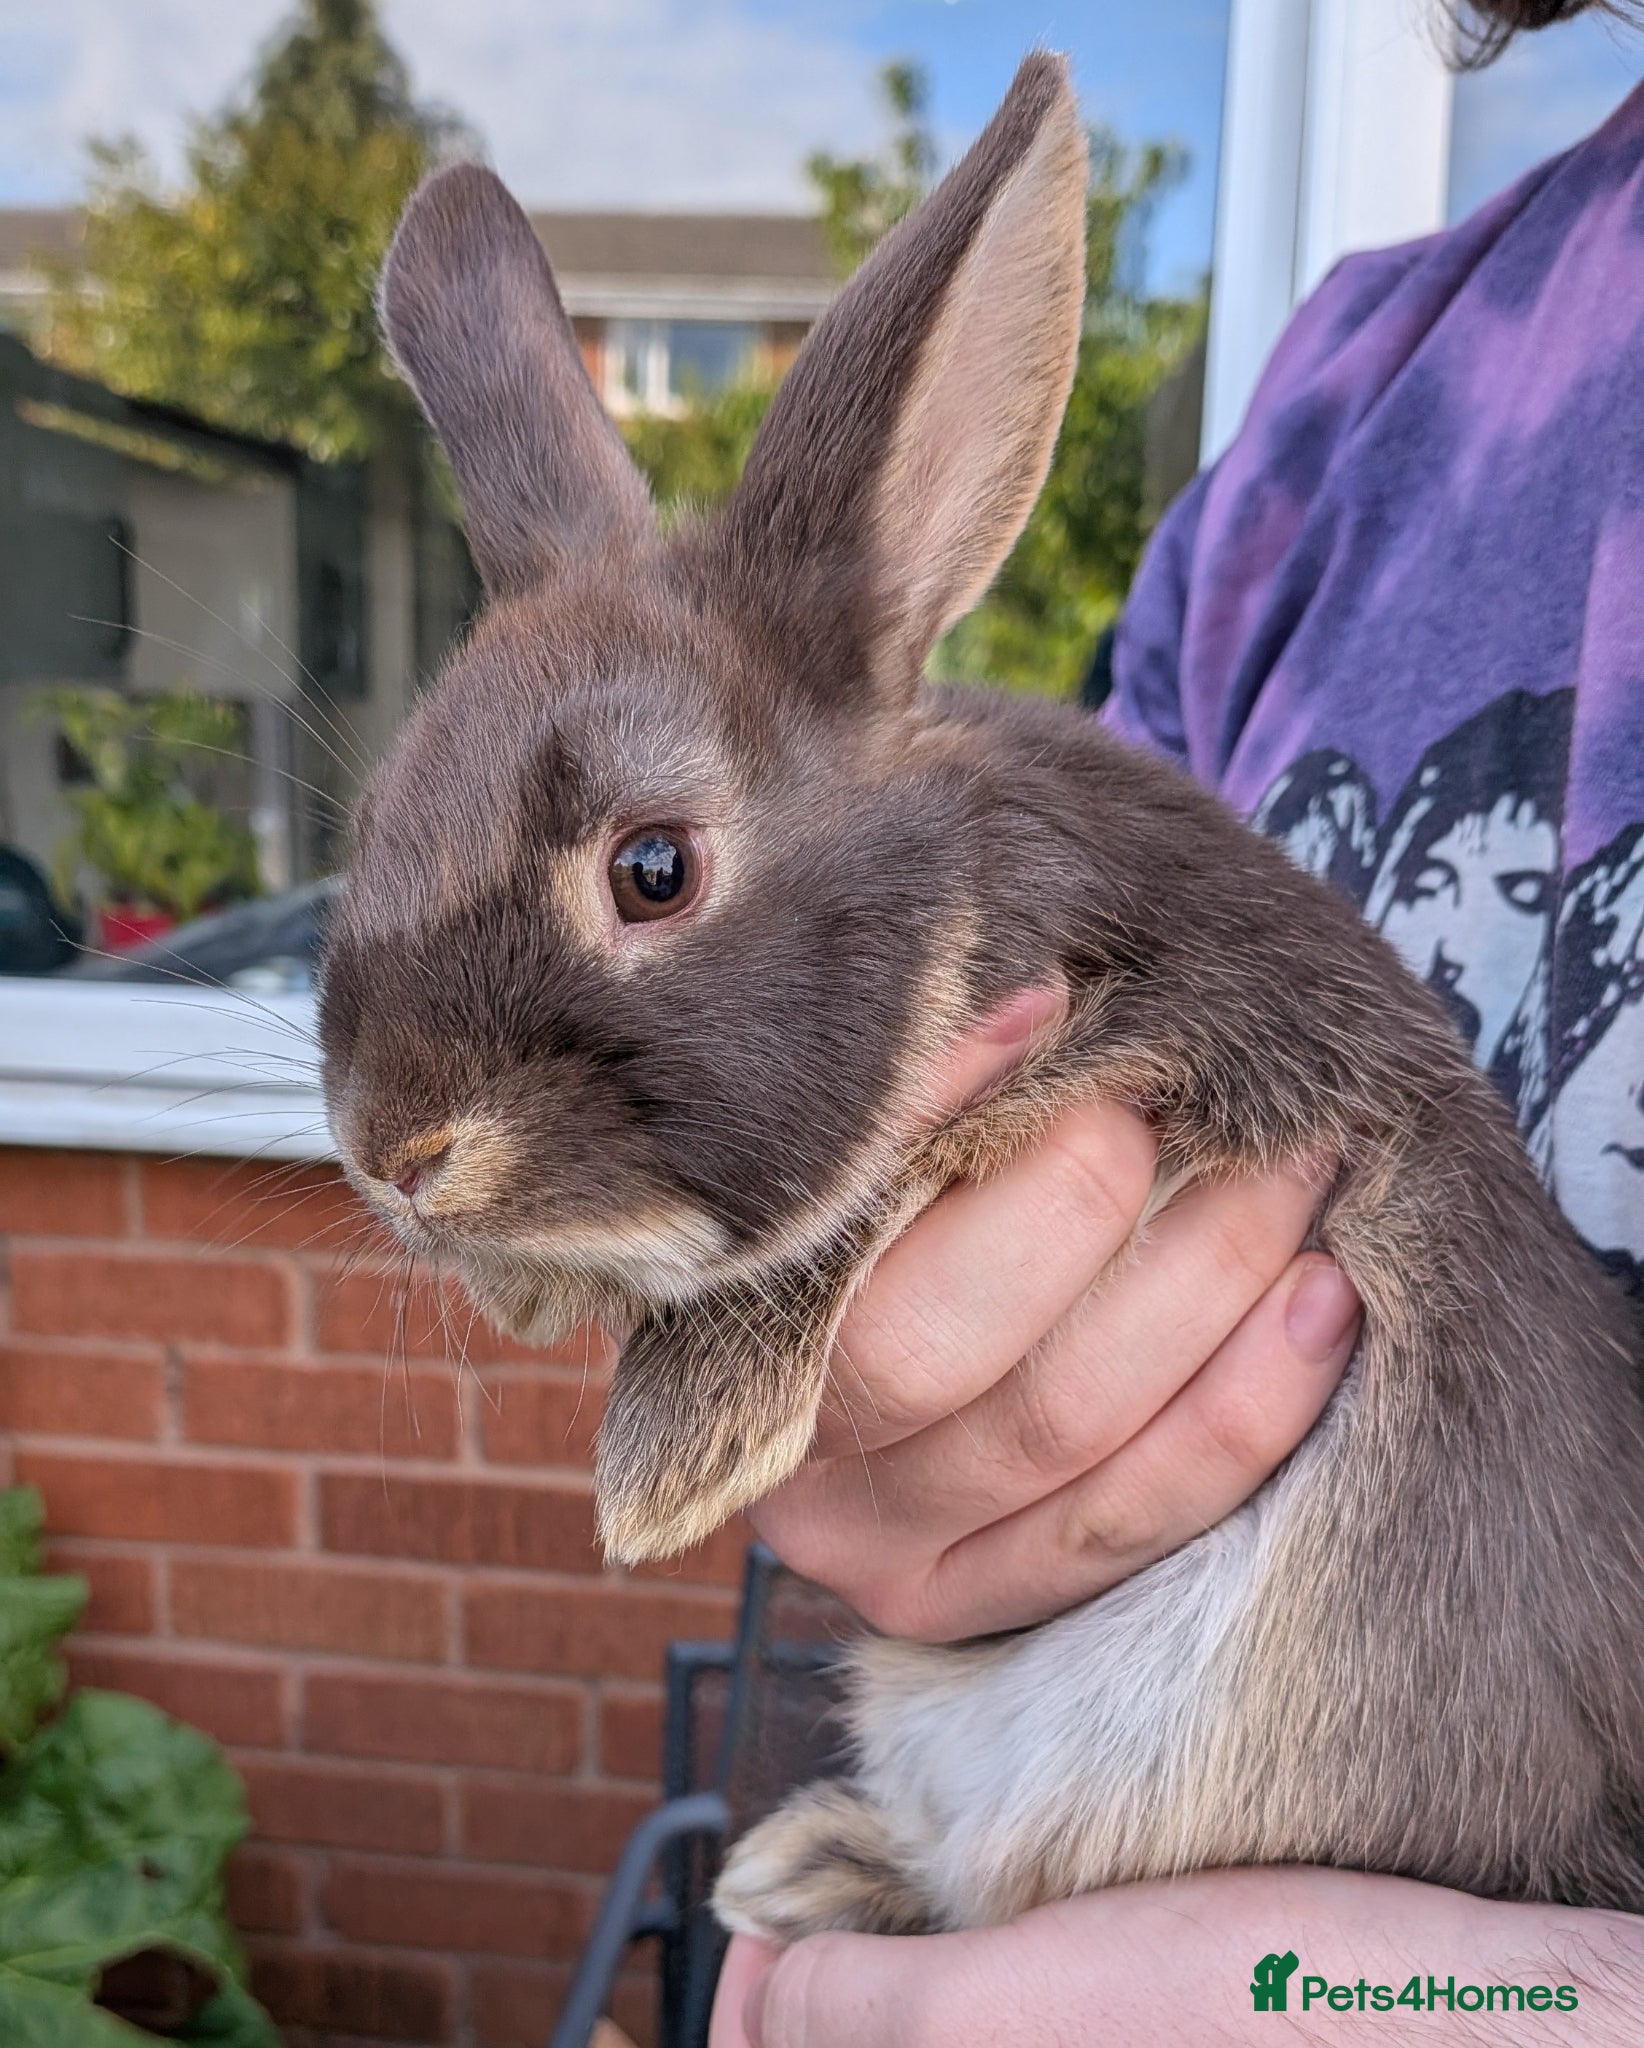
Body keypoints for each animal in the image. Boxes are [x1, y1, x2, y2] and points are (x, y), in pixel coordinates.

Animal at [319, 51, 1644, 1944]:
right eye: (367, 835)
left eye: (652, 867)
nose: (396, 1152)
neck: (959, 901)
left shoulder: (1145, 1046)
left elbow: (831, 1227)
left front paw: (663, 1461)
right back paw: (805, 1867)